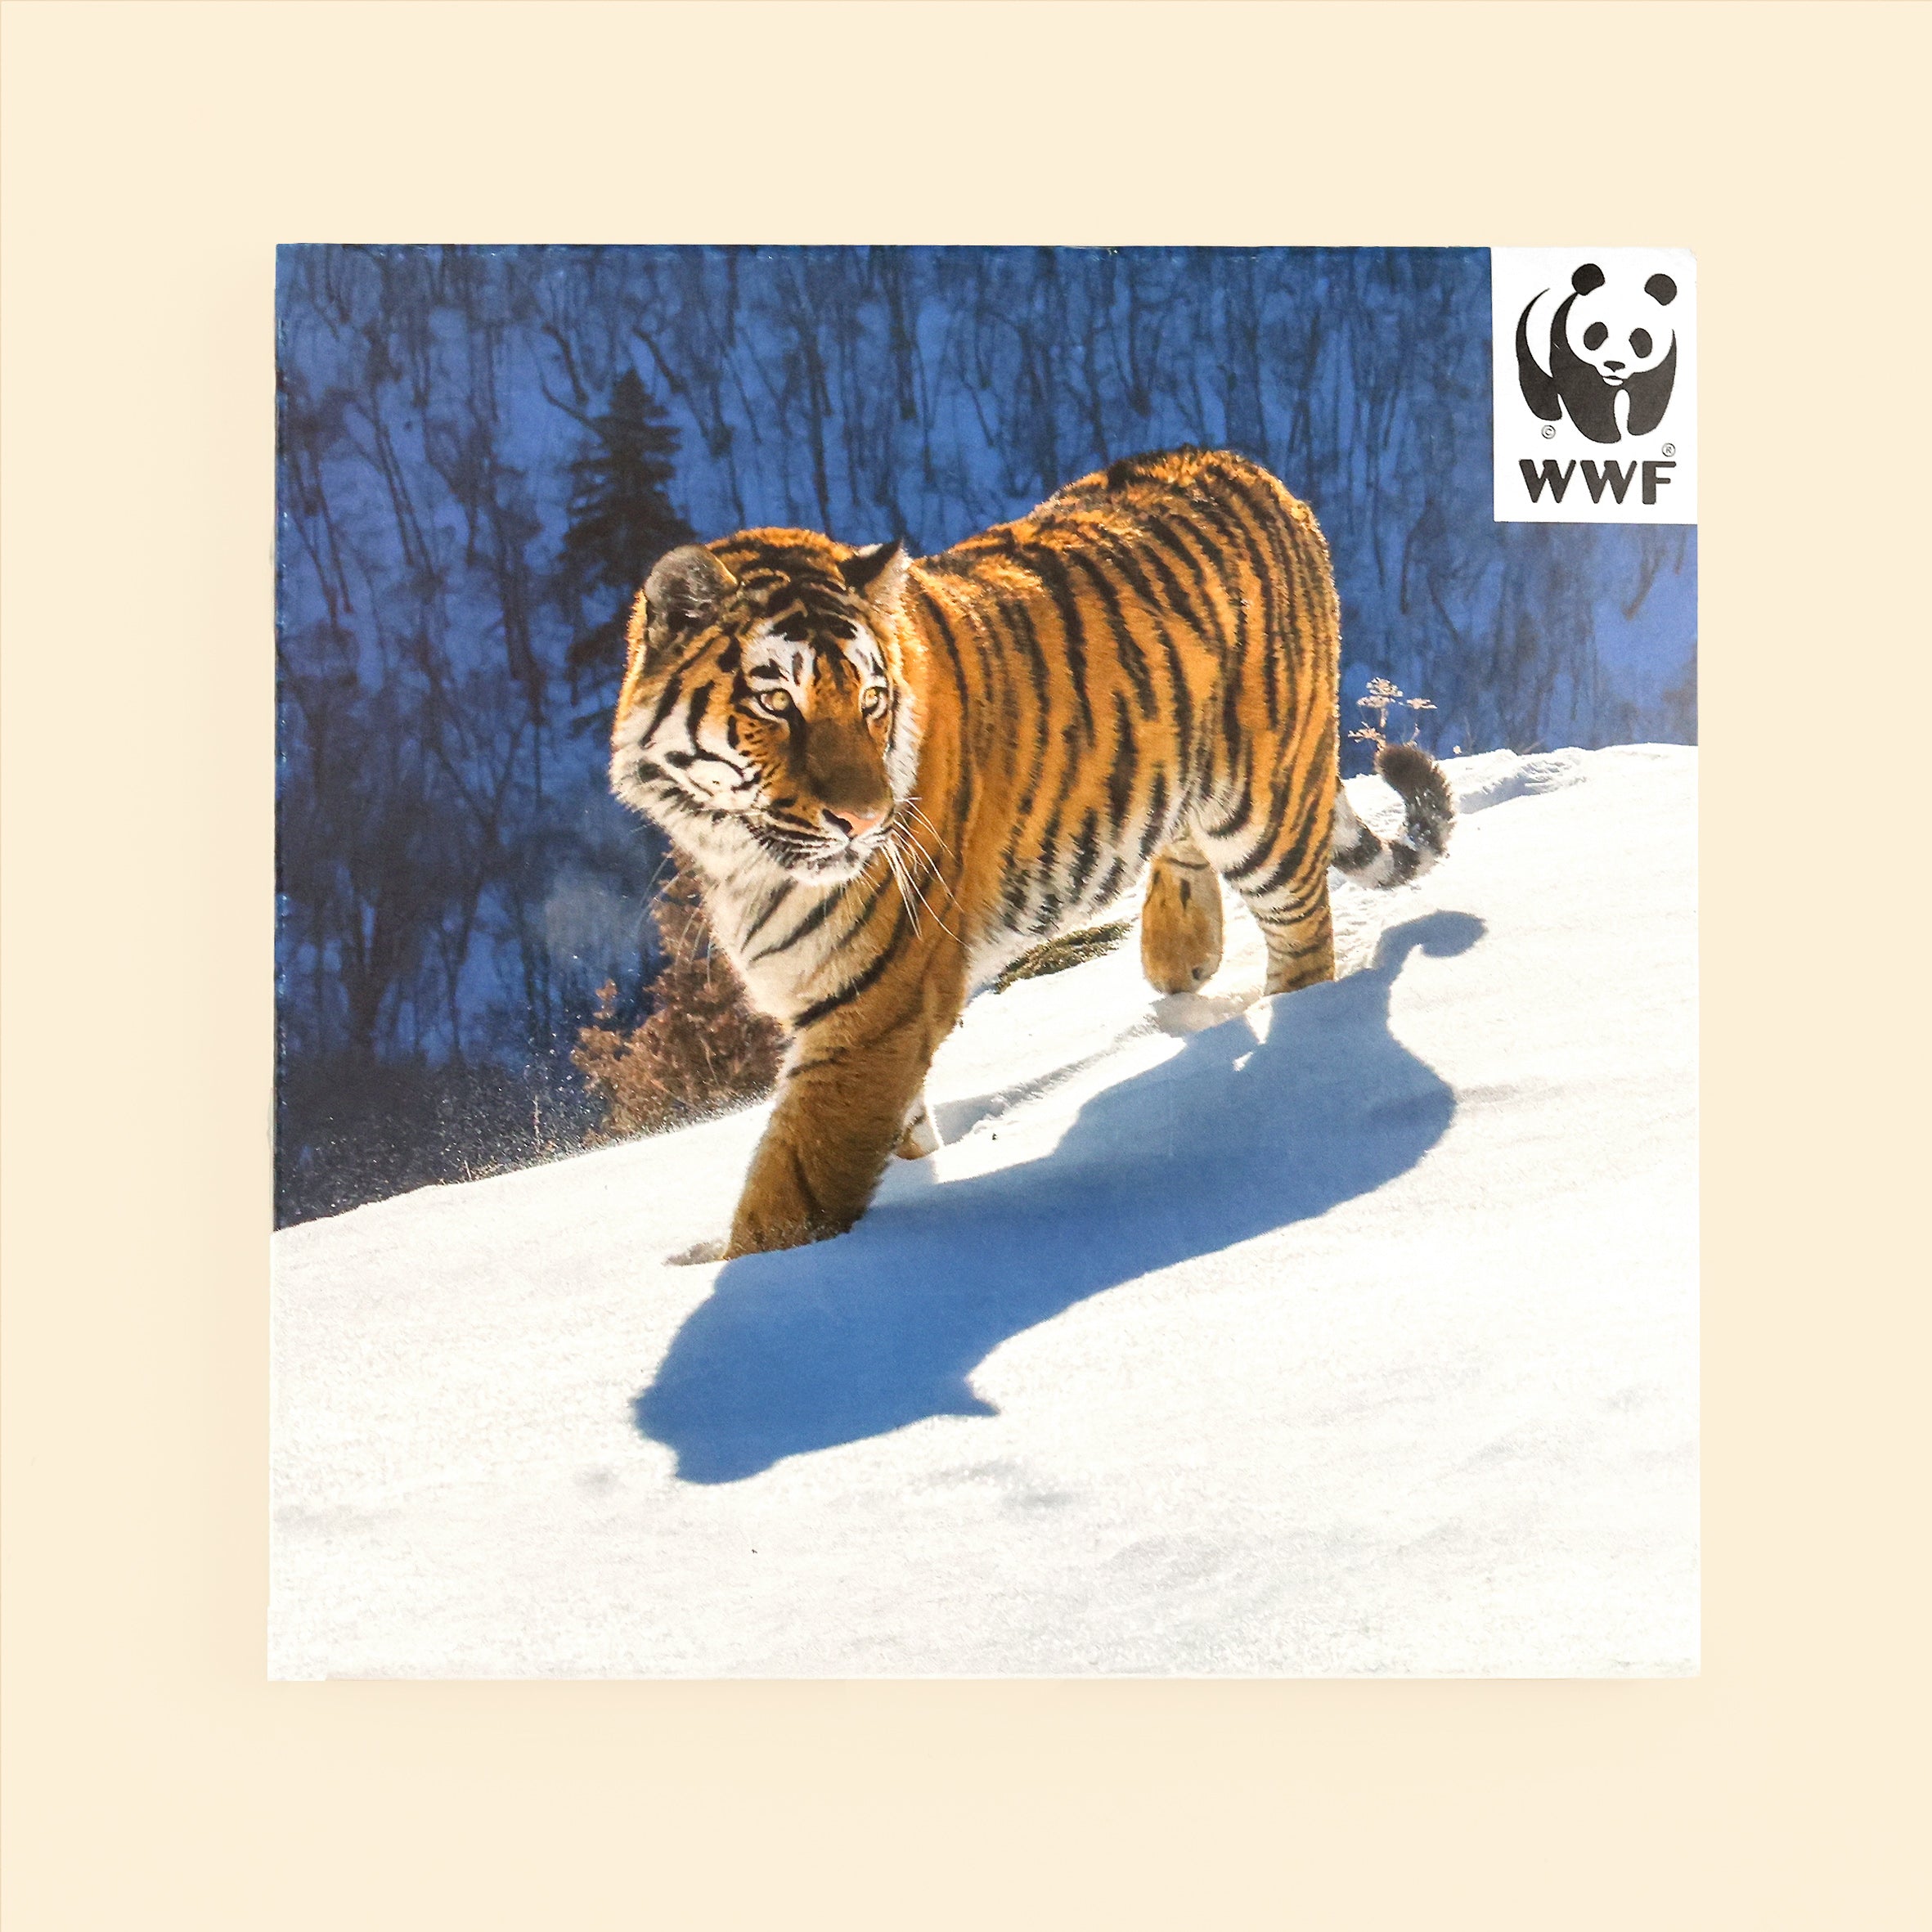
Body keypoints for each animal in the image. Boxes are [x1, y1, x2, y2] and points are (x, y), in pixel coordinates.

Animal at [610, 446, 1454, 1258]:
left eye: (871, 701)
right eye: (776, 702)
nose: (865, 820)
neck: (738, 856)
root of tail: (1263, 476)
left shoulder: (874, 1009)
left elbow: (789, 1195)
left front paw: (761, 1281)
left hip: (1267, 806)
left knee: (1304, 941)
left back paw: (1297, 1029)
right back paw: (1179, 955)